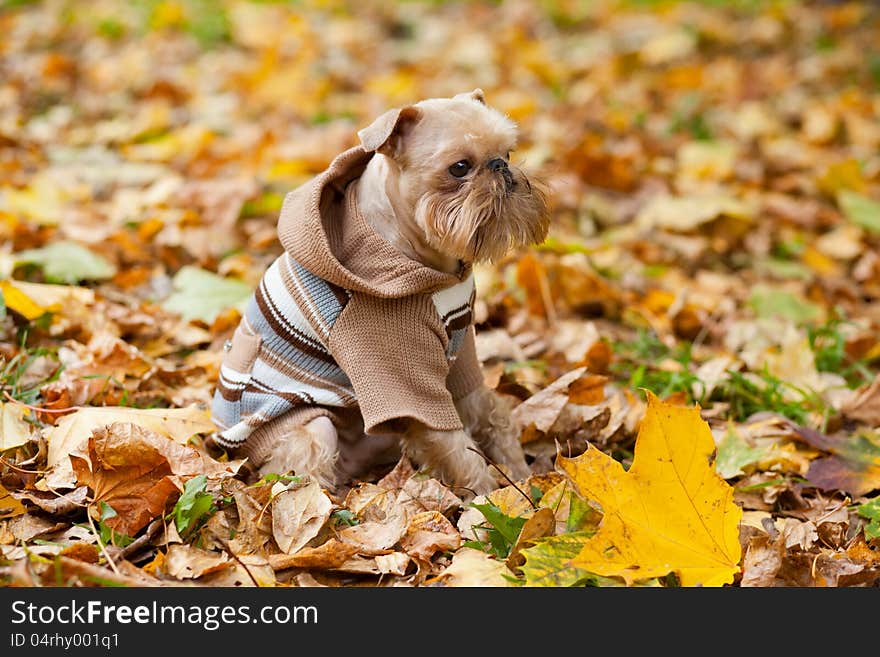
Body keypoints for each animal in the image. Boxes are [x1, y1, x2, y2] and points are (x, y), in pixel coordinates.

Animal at [209, 88, 548, 498]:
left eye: (508, 153)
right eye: (460, 167)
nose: (500, 167)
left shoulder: (461, 356)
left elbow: (491, 413)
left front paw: (524, 480)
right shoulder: (398, 377)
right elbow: (456, 445)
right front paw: (488, 498)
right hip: (309, 429)